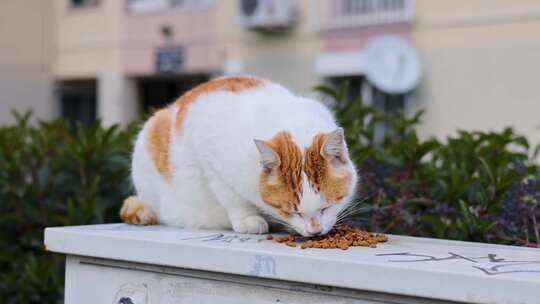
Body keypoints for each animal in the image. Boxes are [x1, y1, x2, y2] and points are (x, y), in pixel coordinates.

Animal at [120, 76, 356, 238]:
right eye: (291, 210)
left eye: (326, 207)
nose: (315, 231)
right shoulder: (208, 158)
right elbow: (232, 197)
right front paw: (248, 219)